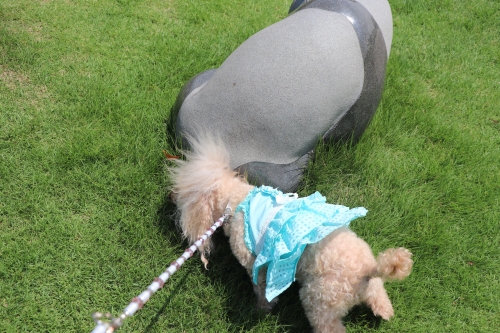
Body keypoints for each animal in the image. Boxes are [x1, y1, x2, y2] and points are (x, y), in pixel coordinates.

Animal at [170, 134, 412, 330]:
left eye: (184, 193)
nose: (170, 195)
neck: (236, 199)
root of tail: (368, 269)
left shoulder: (255, 262)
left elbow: (261, 288)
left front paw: (262, 309)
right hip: (366, 279)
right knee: (378, 291)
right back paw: (384, 310)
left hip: (319, 299)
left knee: (329, 326)